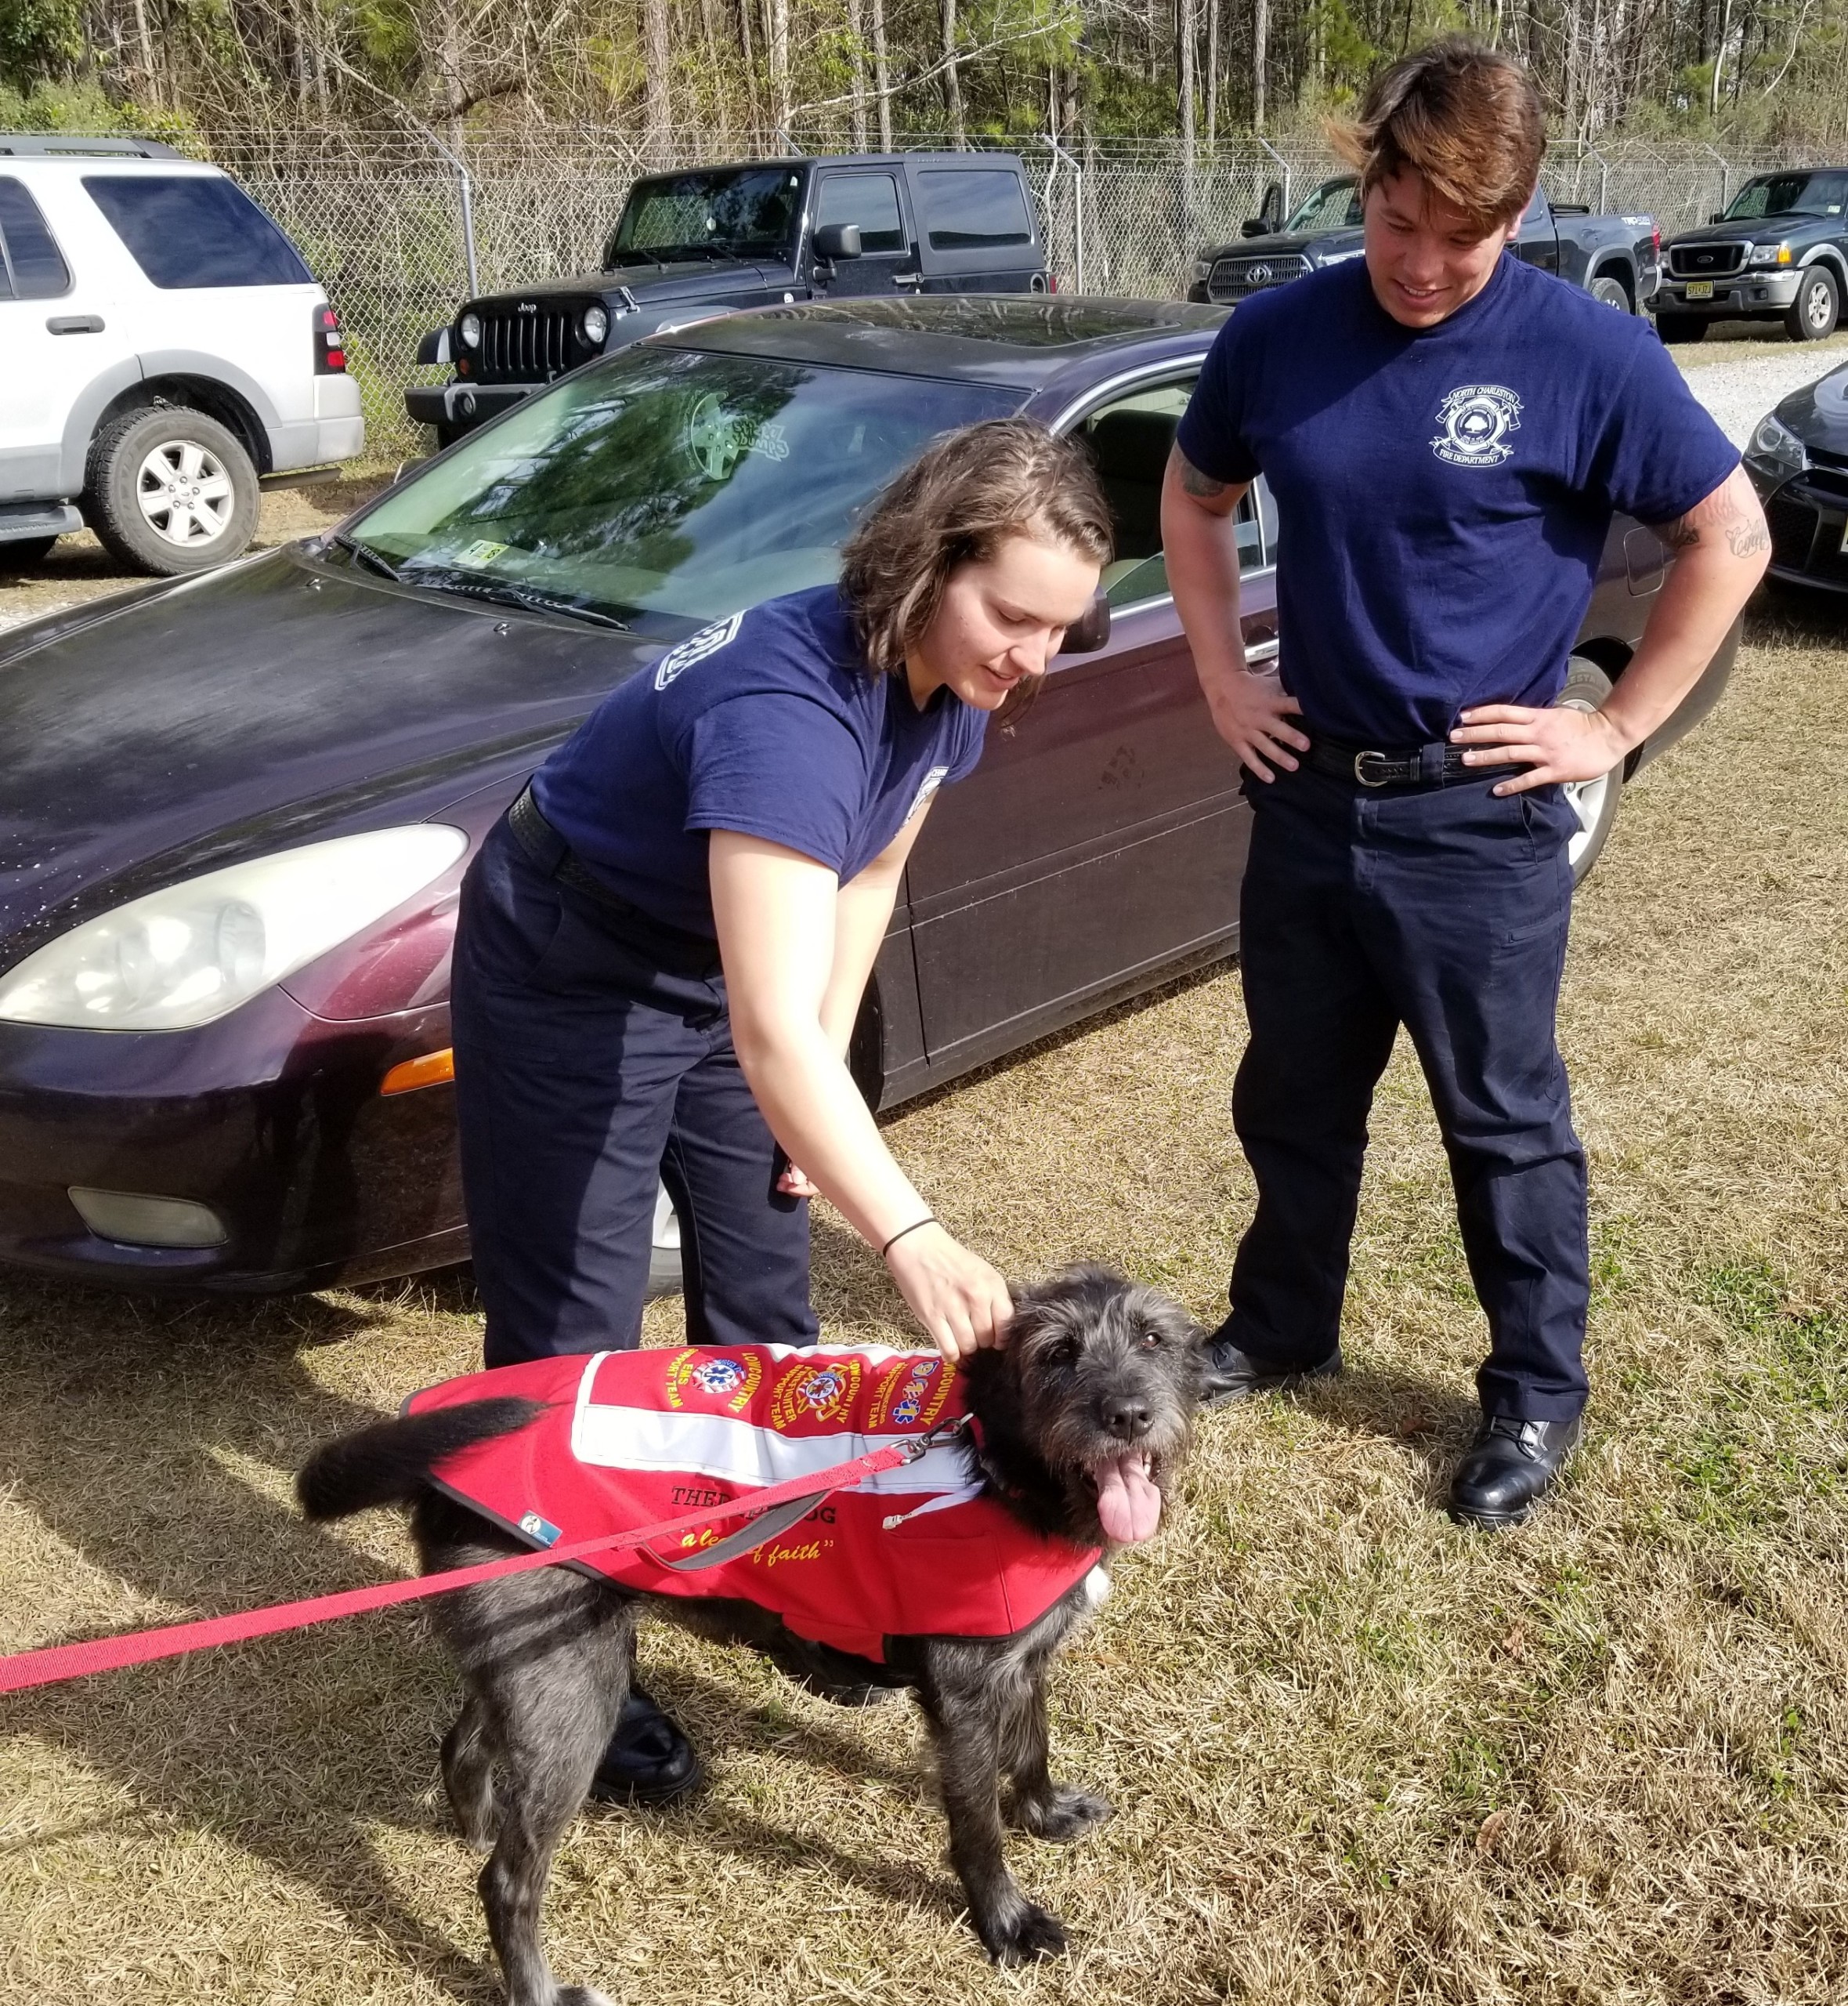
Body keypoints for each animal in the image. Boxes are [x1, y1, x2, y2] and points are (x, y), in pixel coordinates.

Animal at [297, 1263, 1205, 2002]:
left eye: (1154, 1339)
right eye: (1056, 1353)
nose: (1129, 1414)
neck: (991, 1456)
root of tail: (433, 1462)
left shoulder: (1022, 1659)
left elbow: (1034, 1743)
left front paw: (1046, 1813)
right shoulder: (965, 1694)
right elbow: (975, 1824)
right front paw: (1006, 1922)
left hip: (533, 1667)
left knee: (461, 1744)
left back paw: (475, 1822)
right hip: (576, 1694)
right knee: (508, 1883)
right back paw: (539, 1990)